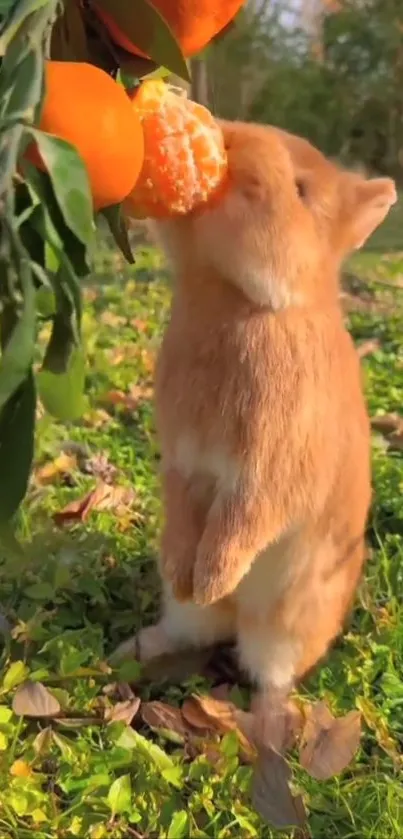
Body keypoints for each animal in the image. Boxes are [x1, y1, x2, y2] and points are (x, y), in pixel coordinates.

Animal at [114, 121, 398, 716]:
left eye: (302, 191)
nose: (232, 140)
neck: (241, 303)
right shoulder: (184, 461)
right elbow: (186, 510)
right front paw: (187, 575)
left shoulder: (270, 470)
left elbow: (243, 518)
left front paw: (211, 578)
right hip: (196, 619)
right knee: (189, 629)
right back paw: (135, 645)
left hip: (286, 626)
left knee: (270, 671)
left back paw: (260, 716)